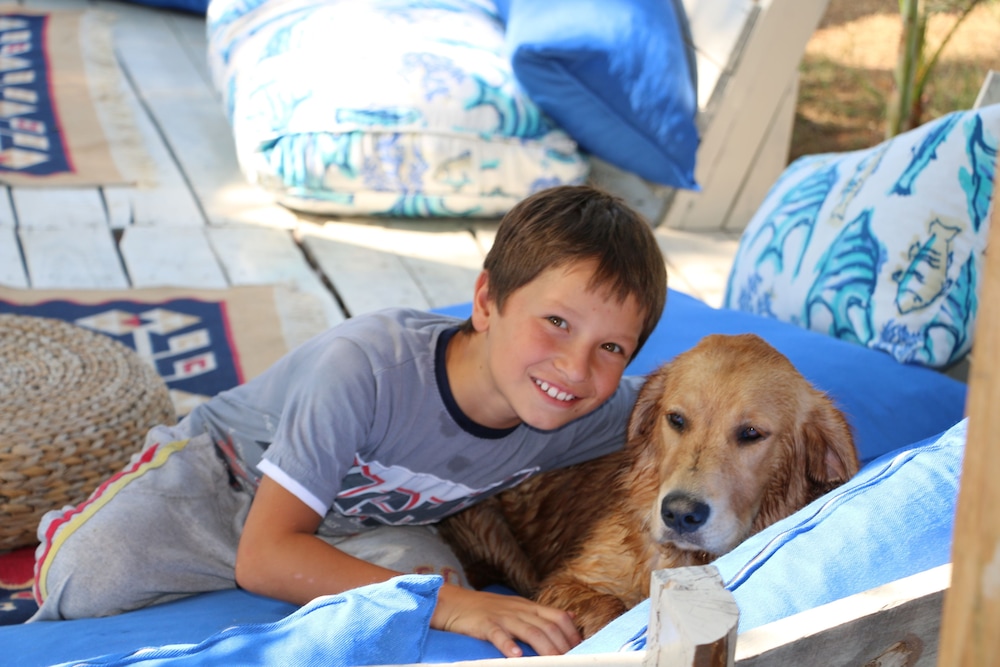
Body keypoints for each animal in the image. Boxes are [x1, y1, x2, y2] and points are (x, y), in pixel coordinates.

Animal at [438, 333, 860, 638]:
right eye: (676, 419)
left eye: (751, 433)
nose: (680, 514)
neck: (684, 561)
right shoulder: (568, 581)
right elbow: (610, 610)